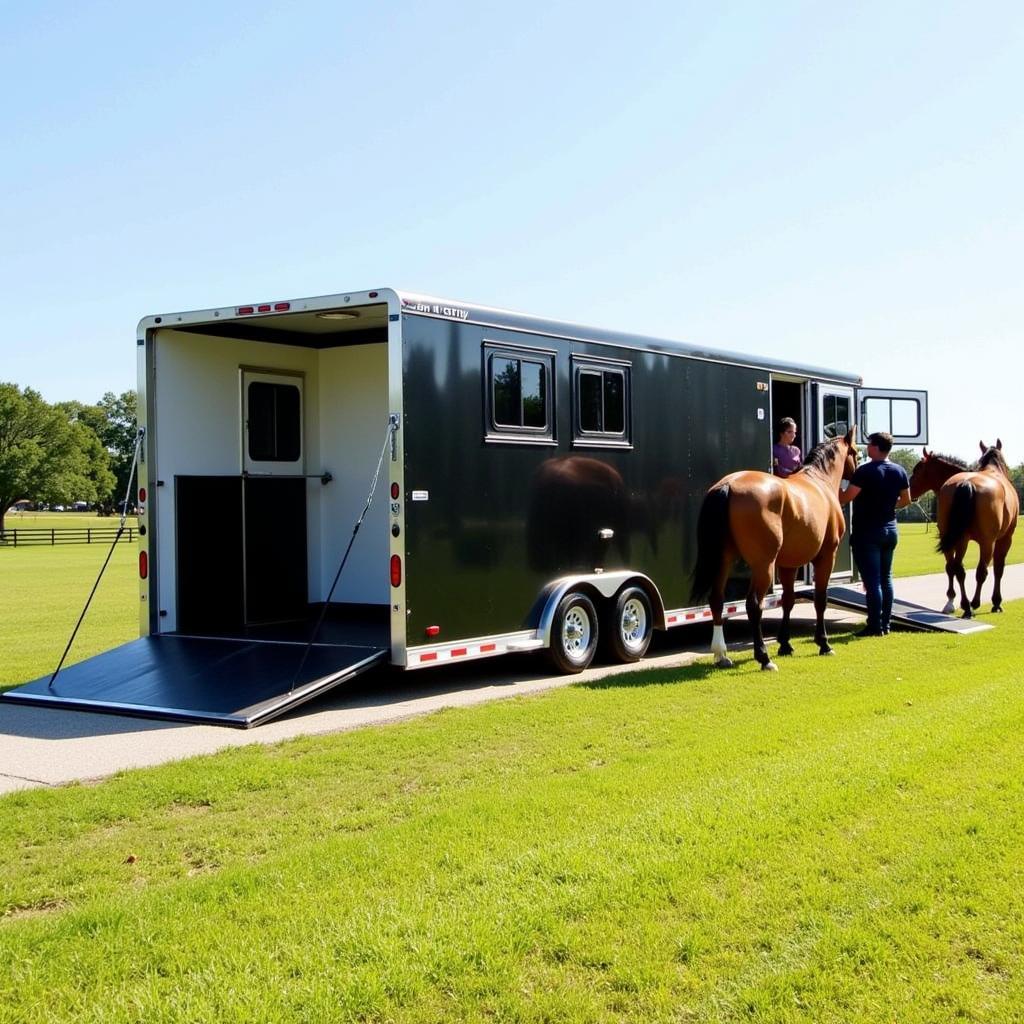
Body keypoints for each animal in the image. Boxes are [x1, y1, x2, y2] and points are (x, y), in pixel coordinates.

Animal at [692, 425, 860, 671]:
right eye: (855, 452)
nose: (858, 472)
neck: (819, 481)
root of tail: (728, 485)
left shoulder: (788, 564)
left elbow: (788, 601)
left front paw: (785, 645)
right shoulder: (826, 556)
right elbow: (820, 599)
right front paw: (824, 644)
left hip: (724, 560)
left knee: (717, 600)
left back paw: (722, 655)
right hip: (764, 566)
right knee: (754, 605)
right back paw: (763, 658)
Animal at [909, 440, 1019, 614]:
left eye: (917, 470)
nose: (906, 488)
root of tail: (966, 483)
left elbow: (950, 568)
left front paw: (950, 601)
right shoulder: (1005, 539)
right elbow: (998, 568)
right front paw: (996, 602)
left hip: (959, 539)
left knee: (957, 568)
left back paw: (965, 604)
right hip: (986, 543)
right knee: (981, 571)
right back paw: (973, 603)